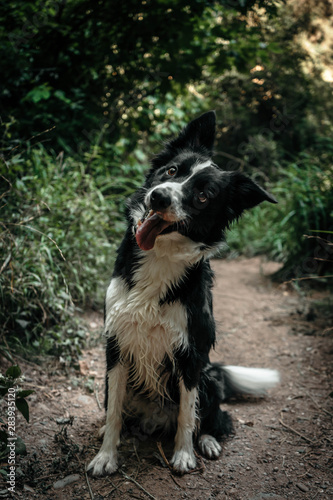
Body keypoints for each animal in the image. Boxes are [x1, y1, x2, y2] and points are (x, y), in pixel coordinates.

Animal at [87, 110, 278, 476]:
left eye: (203, 196)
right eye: (172, 171)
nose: (159, 196)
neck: (159, 257)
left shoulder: (192, 354)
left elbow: (188, 415)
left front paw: (184, 455)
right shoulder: (116, 345)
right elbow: (114, 409)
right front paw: (106, 456)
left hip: (208, 378)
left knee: (217, 420)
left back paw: (207, 441)